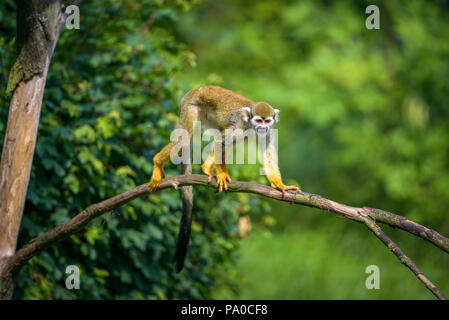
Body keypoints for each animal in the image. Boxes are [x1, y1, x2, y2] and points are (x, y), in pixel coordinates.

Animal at [149, 85, 300, 270]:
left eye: (267, 121)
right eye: (259, 120)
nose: (263, 127)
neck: (251, 127)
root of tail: (197, 89)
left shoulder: (269, 134)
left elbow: (267, 156)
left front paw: (280, 185)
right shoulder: (239, 127)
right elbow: (222, 143)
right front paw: (222, 175)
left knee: (218, 135)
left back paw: (206, 167)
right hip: (190, 107)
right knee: (186, 138)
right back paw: (157, 162)